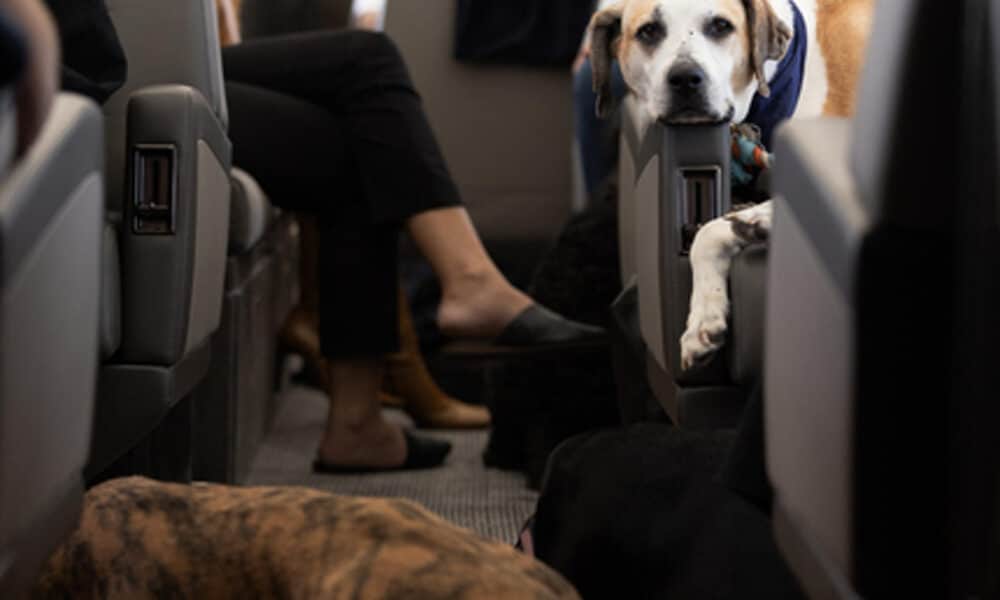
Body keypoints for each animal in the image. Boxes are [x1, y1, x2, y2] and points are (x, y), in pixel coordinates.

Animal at [588, 0, 872, 370]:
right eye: (649, 31)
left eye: (721, 26)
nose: (686, 78)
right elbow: (708, 233)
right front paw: (705, 315)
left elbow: (710, 230)